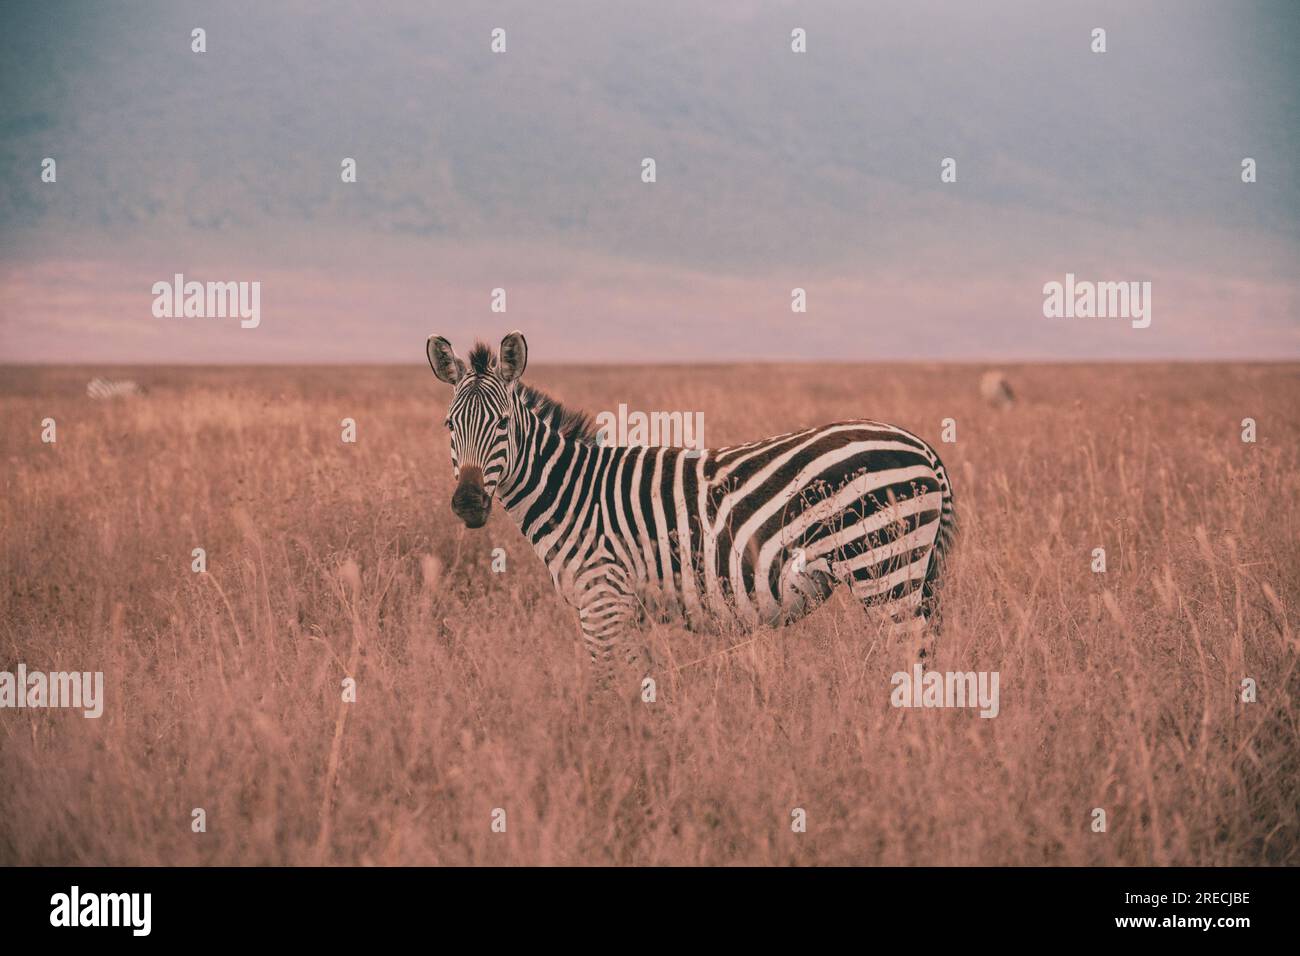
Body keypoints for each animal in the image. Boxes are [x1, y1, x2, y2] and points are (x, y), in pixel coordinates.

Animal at [427, 331, 957, 676]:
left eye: (502, 425)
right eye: (450, 426)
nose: (469, 503)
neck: (571, 492)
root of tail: (921, 446)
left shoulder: (601, 600)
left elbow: (607, 688)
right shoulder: (626, 608)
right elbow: (641, 683)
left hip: (883, 566)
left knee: (907, 659)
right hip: (909, 571)